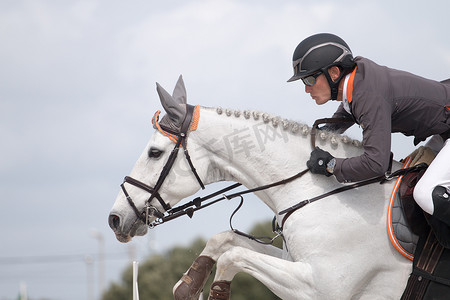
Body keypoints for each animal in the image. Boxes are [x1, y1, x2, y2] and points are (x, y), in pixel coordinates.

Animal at [108, 77, 412, 300]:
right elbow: (224, 240)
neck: (320, 190)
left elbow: (232, 256)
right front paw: (188, 286)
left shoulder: (319, 286)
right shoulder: (295, 265)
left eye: (155, 153)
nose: (114, 219)